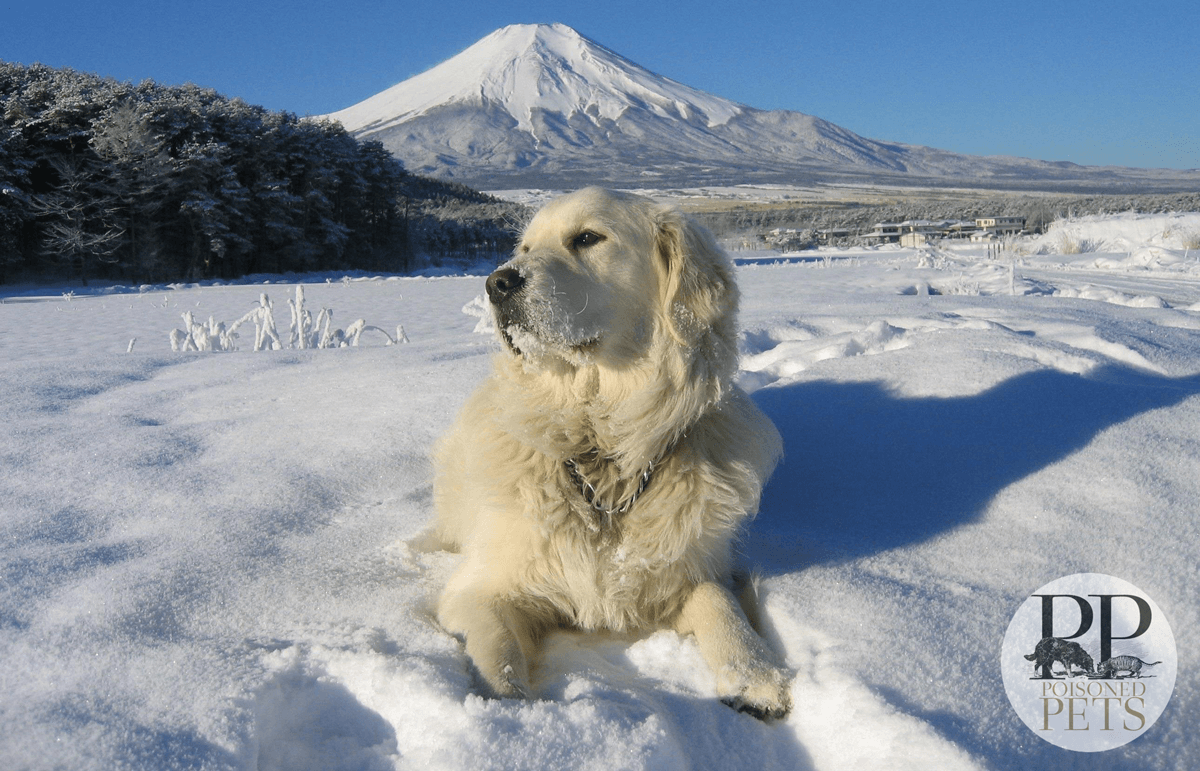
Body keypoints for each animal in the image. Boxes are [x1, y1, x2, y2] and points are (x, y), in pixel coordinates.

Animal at [429, 186, 787, 715]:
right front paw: (506, 710)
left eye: (586, 238)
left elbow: (720, 604)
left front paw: (754, 674)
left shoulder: (689, 570)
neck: (602, 446)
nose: (497, 283)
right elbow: (497, 647)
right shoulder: (480, 587)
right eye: (525, 249)